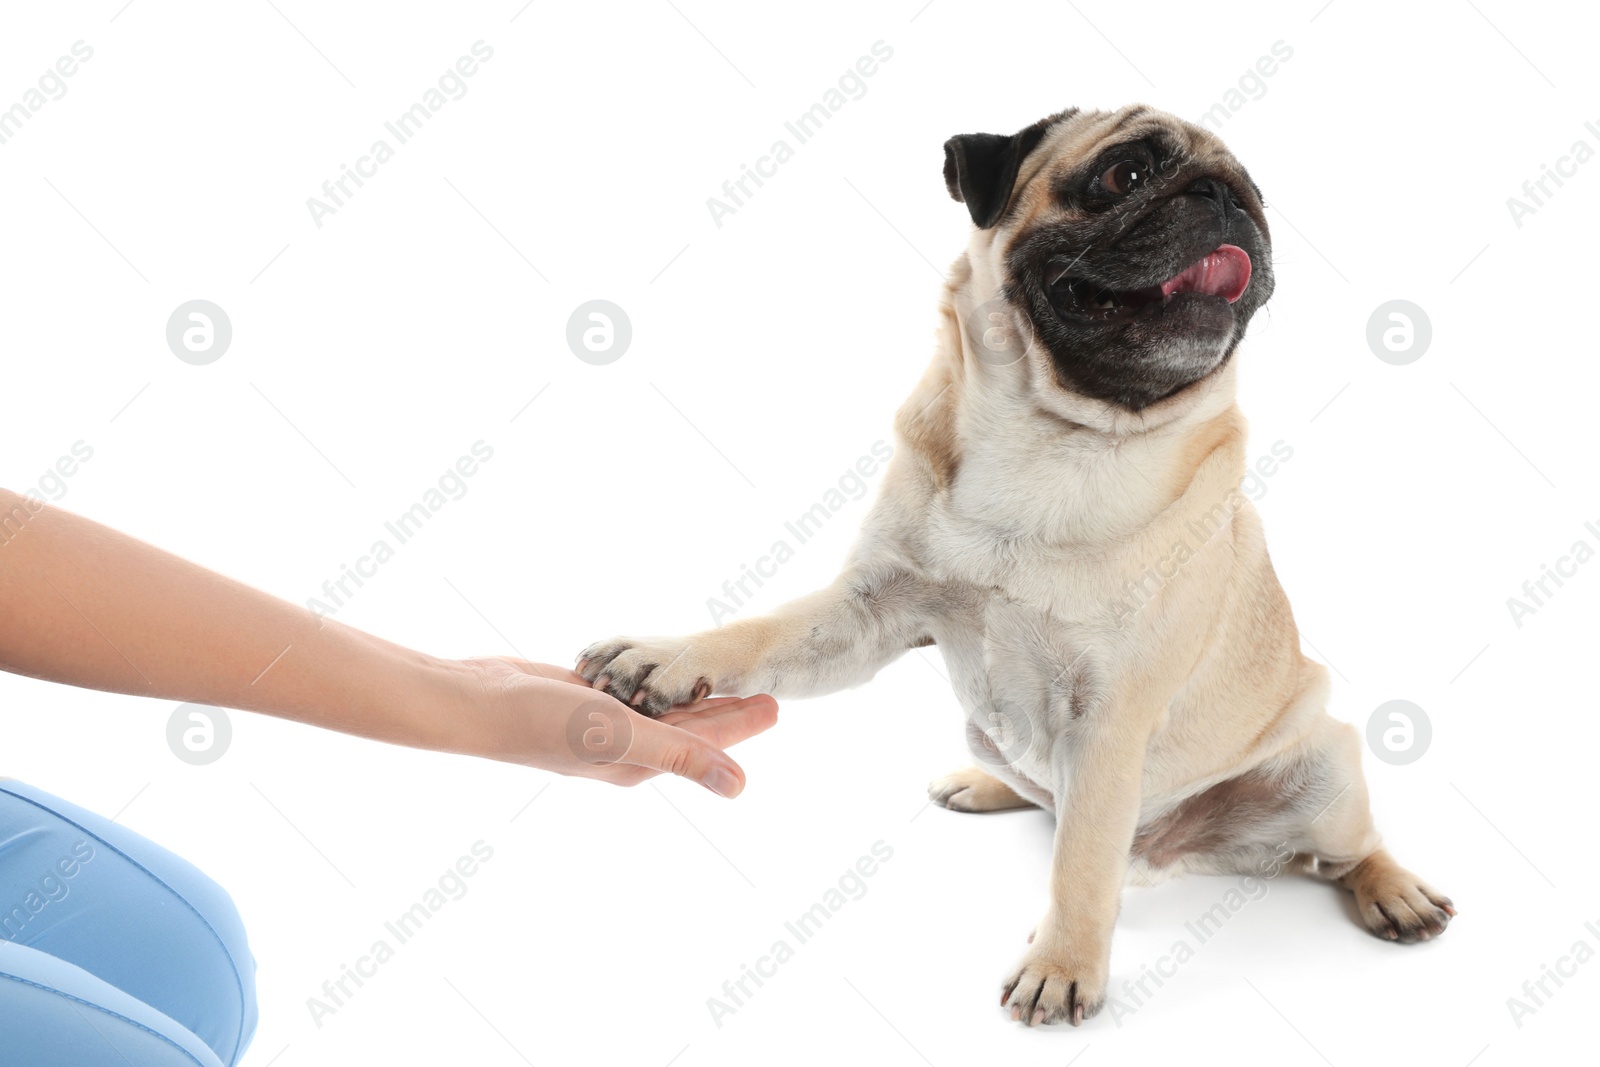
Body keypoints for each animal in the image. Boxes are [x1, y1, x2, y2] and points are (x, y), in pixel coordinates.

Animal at [576, 106, 1452, 1023]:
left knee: (1341, 848)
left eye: (1256, 197)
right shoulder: (867, 613)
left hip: (1324, 768)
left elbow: (1081, 867)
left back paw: (1395, 891)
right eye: (1125, 175)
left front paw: (1063, 965)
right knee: (1044, 795)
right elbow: (761, 632)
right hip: (985, 726)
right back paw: (986, 783)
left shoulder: (1110, 722)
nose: (1224, 197)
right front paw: (669, 657)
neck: (1055, 434)